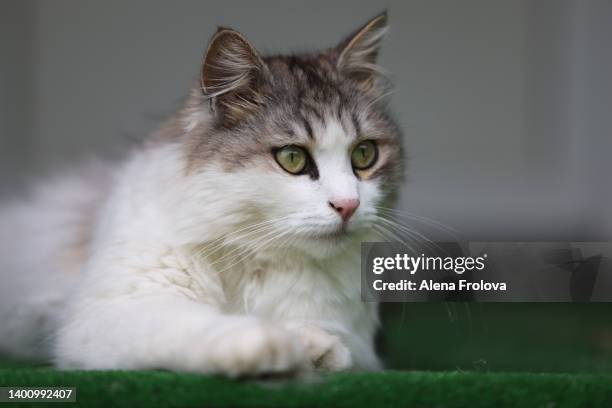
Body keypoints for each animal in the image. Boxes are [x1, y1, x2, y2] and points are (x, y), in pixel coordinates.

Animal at [0, 11, 404, 376]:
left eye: (364, 154)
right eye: (292, 158)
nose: (348, 205)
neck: (253, 256)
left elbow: (335, 343)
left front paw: (316, 347)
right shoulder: (118, 307)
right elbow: (197, 325)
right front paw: (268, 343)